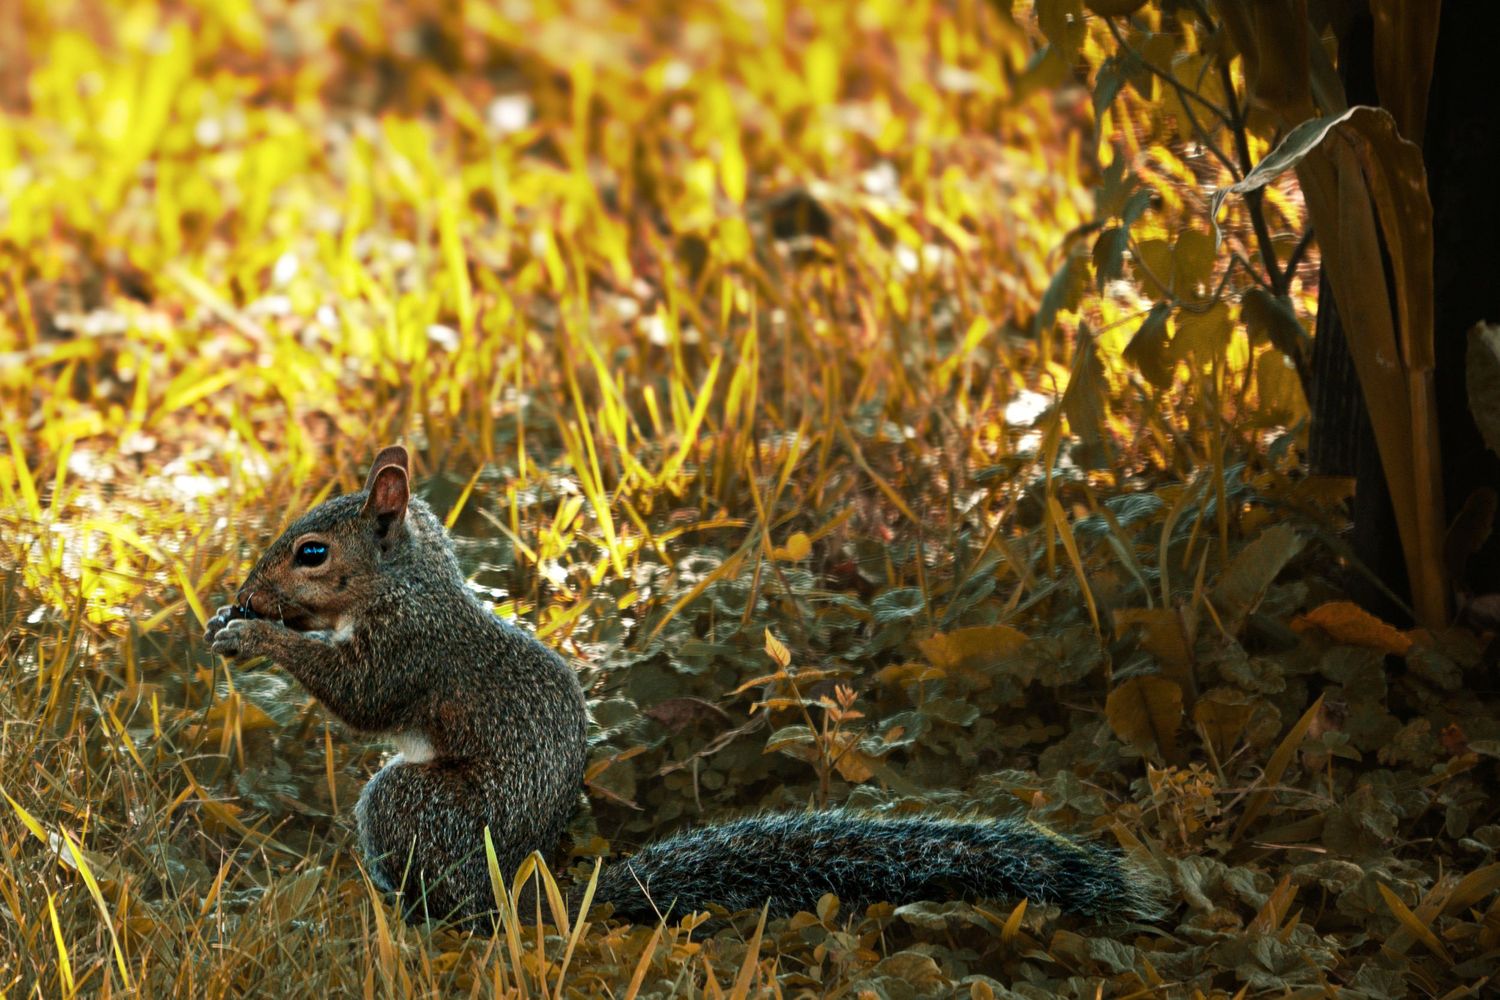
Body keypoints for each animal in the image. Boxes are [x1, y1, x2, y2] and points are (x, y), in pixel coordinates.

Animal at [204, 445, 1166, 927]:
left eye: (313, 553)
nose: (247, 591)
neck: (410, 581)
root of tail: (521, 890)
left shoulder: (413, 647)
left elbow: (362, 694)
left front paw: (253, 634)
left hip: (415, 808)